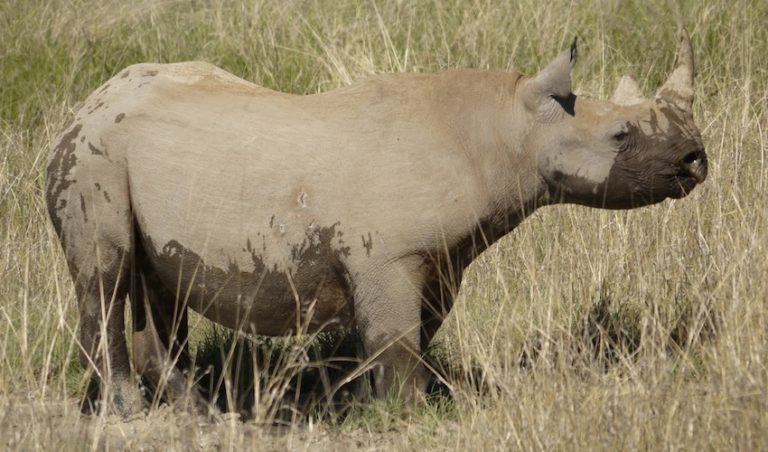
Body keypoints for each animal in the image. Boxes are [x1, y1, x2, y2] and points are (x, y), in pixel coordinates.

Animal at [46, 29, 706, 416]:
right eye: (620, 134)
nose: (697, 159)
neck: (505, 129)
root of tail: (85, 103)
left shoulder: (439, 258)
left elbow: (405, 337)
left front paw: (356, 402)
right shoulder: (389, 256)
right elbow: (397, 340)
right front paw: (405, 417)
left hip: (129, 157)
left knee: (159, 282)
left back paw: (202, 415)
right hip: (93, 157)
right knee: (105, 277)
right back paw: (130, 415)